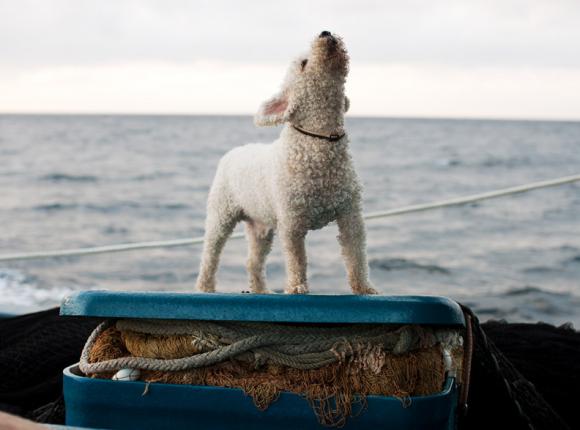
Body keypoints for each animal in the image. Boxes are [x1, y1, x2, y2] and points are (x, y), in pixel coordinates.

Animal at [195, 31, 376, 296]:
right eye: (303, 63)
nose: (325, 32)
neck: (319, 142)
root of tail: (235, 151)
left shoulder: (351, 214)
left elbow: (356, 254)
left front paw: (364, 287)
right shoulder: (291, 221)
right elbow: (297, 258)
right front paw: (297, 286)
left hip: (261, 225)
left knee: (254, 261)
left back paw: (261, 290)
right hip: (221, 213)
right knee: (211, 253)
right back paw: (205, 286)